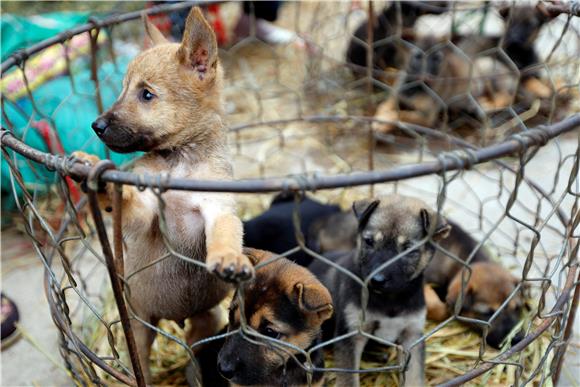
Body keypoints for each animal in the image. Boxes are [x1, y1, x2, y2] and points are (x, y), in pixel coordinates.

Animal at [73, 7, 254, 384]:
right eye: (123, 90)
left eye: (146, 95)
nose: (96, 126)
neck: (180, 161)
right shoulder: (146, 210)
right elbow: (128, 200)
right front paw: (92, 166)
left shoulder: (218, 208)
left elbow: (226, 233)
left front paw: (229, 257)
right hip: (140, 326)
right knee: (139, 360)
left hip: (205, 321)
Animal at [310, 197, 450, 387]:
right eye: (369, 242)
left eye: (408, 250)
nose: (376, 280)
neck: (390, 299)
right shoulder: (352, 334)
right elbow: (349, 379)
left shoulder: (412, 334)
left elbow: (415, 376)